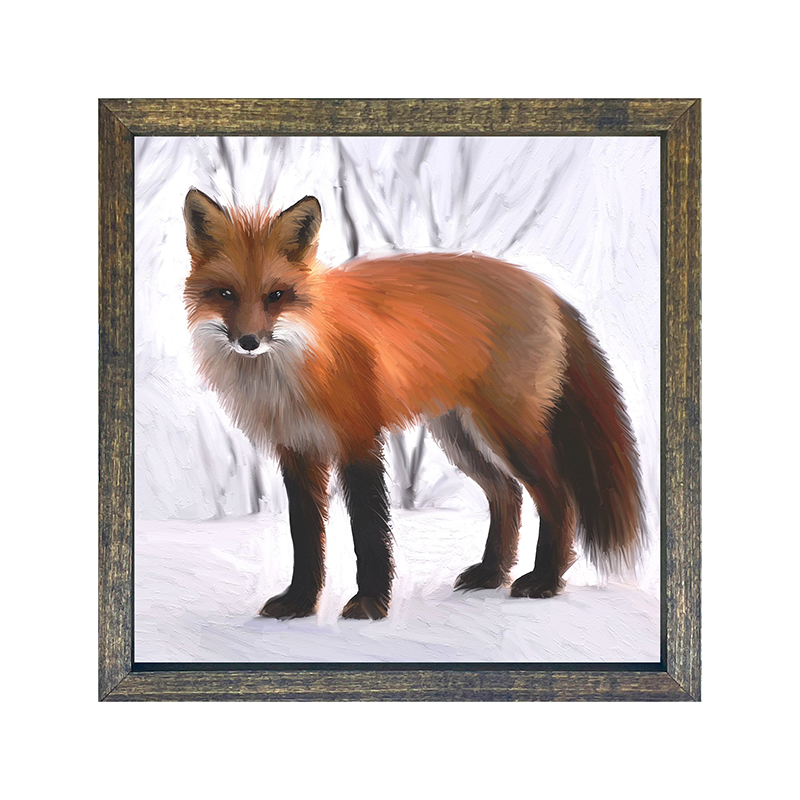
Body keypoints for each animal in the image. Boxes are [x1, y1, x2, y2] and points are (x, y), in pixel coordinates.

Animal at [183, 188, 645, 620]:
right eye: (226, 294)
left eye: (276, 295)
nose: (248, 342)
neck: (297, 367)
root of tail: (542, 286)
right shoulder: (297, 451)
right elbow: (306, 536)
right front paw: (299, 603)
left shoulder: (359, 440)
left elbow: (369, 530)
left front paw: (370, 605)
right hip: (458, 436)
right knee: (507, 493)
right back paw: (492, 573)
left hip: (509, 432)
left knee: (557, 497)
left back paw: (545, 581)